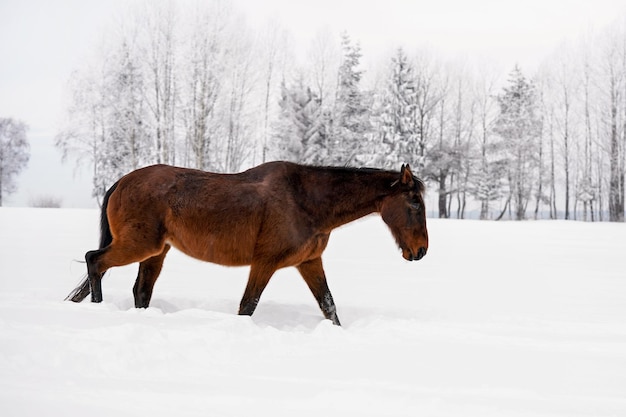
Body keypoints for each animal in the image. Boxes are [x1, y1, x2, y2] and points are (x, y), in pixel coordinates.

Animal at [66, 161, 426, 324]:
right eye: (414, 204)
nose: (420, 251)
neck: (305, 201)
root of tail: (121, 181)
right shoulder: (265, 262)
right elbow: (247, 306)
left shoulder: (309, 262)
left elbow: (329, 306)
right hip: (141, 244)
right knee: (95, 260)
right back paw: (96, 306)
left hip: (156, 251)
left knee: (139, 290)